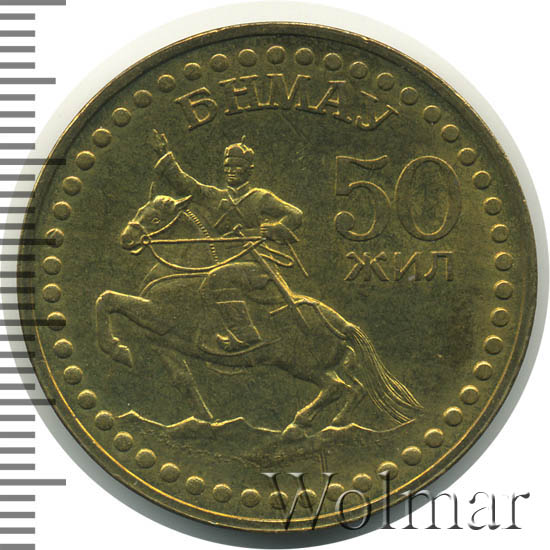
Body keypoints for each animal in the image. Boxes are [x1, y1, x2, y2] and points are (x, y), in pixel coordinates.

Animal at [95, 194, 422, 437]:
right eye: (141, 209)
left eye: (155, 218)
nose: (126, 238)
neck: (182, 270)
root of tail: (342, 323)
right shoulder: (164, 341)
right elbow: (182, 379)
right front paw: (205, 420)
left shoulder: (159, 315)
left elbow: (108, 299)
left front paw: (116, 349)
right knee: (354, 389)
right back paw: (334, 424)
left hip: (301, 364)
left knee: (337, 388)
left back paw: (299, 423)